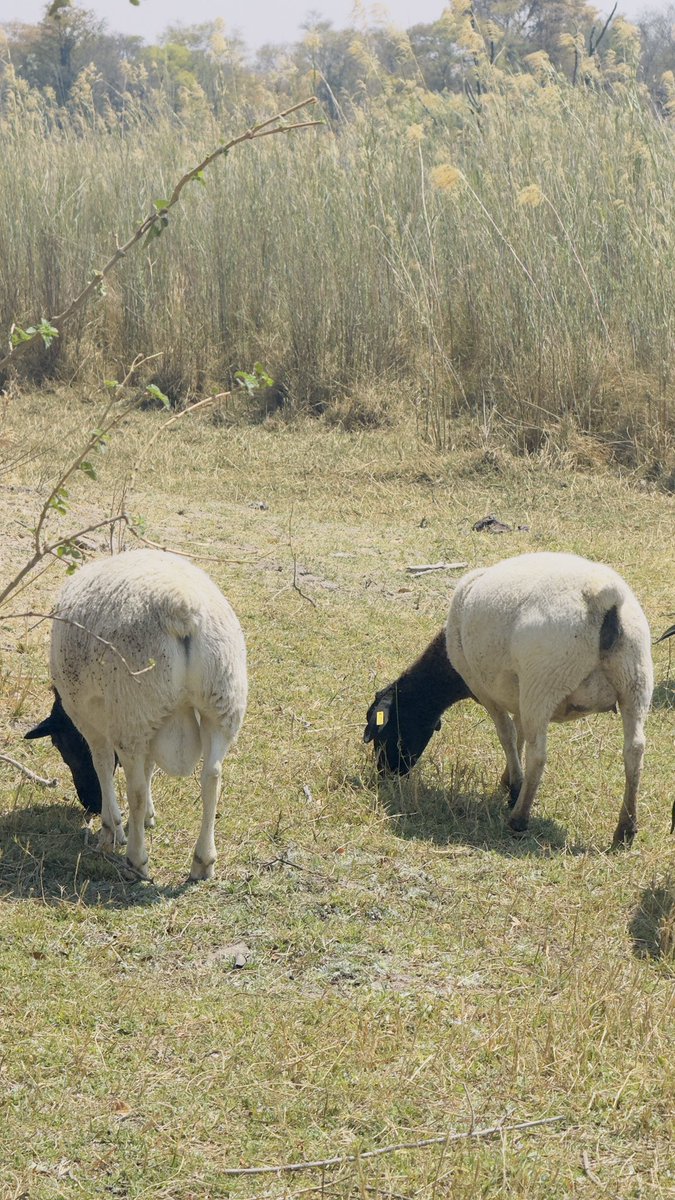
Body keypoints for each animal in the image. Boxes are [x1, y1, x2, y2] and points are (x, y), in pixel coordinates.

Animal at [25, 549, 247, 880]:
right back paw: (203, 861)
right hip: (221, 701)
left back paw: (136, 860)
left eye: (59, 745)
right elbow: (150, 765)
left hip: (132, 708)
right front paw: (144, 819)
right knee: (212, 777)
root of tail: (182, 609)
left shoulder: (88, 718)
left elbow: (103, 765)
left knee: (137, 789)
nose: (90, 805)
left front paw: (112, 827)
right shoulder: (153, 721)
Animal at [364, 552, 654, 847]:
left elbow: (507, 735)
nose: (385, 774)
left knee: (538, 755)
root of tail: (603, 596)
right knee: (634, 750)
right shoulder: (518, 694)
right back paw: (626, 829)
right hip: (636, 680)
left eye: (386, 731)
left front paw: (514, 786)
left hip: (543, 684)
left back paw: (519, 818)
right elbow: (519, 734)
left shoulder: (484, 689)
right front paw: (509, 779)